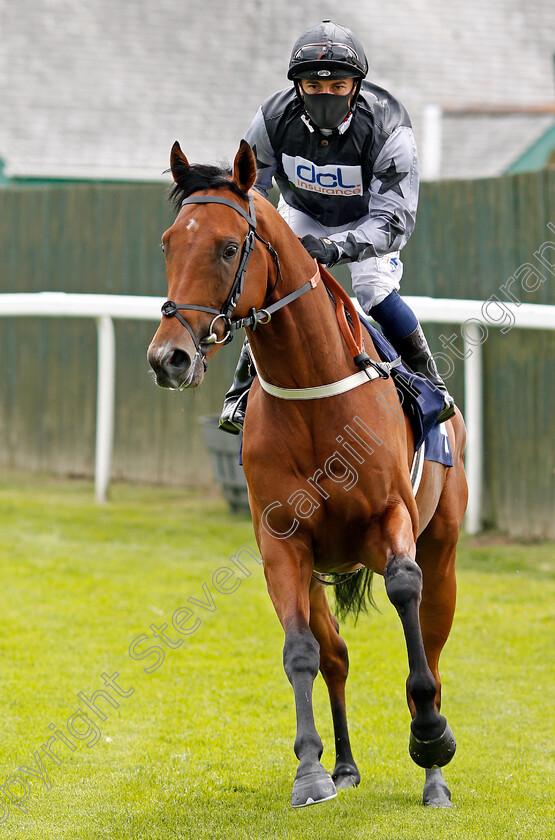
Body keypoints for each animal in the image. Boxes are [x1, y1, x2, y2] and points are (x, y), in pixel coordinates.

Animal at [148, 141, 470, 812]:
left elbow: (404, 593)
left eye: (227, 247)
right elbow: (302, 650)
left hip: (445, 550)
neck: (313, 396)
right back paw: (344, 765)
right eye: (168, 243)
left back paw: (434, 775)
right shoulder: (283, 541)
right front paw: (311, 771)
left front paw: (430, 738)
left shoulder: (392, 518)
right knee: (336, 655)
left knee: (431, 643)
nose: (170, 358)